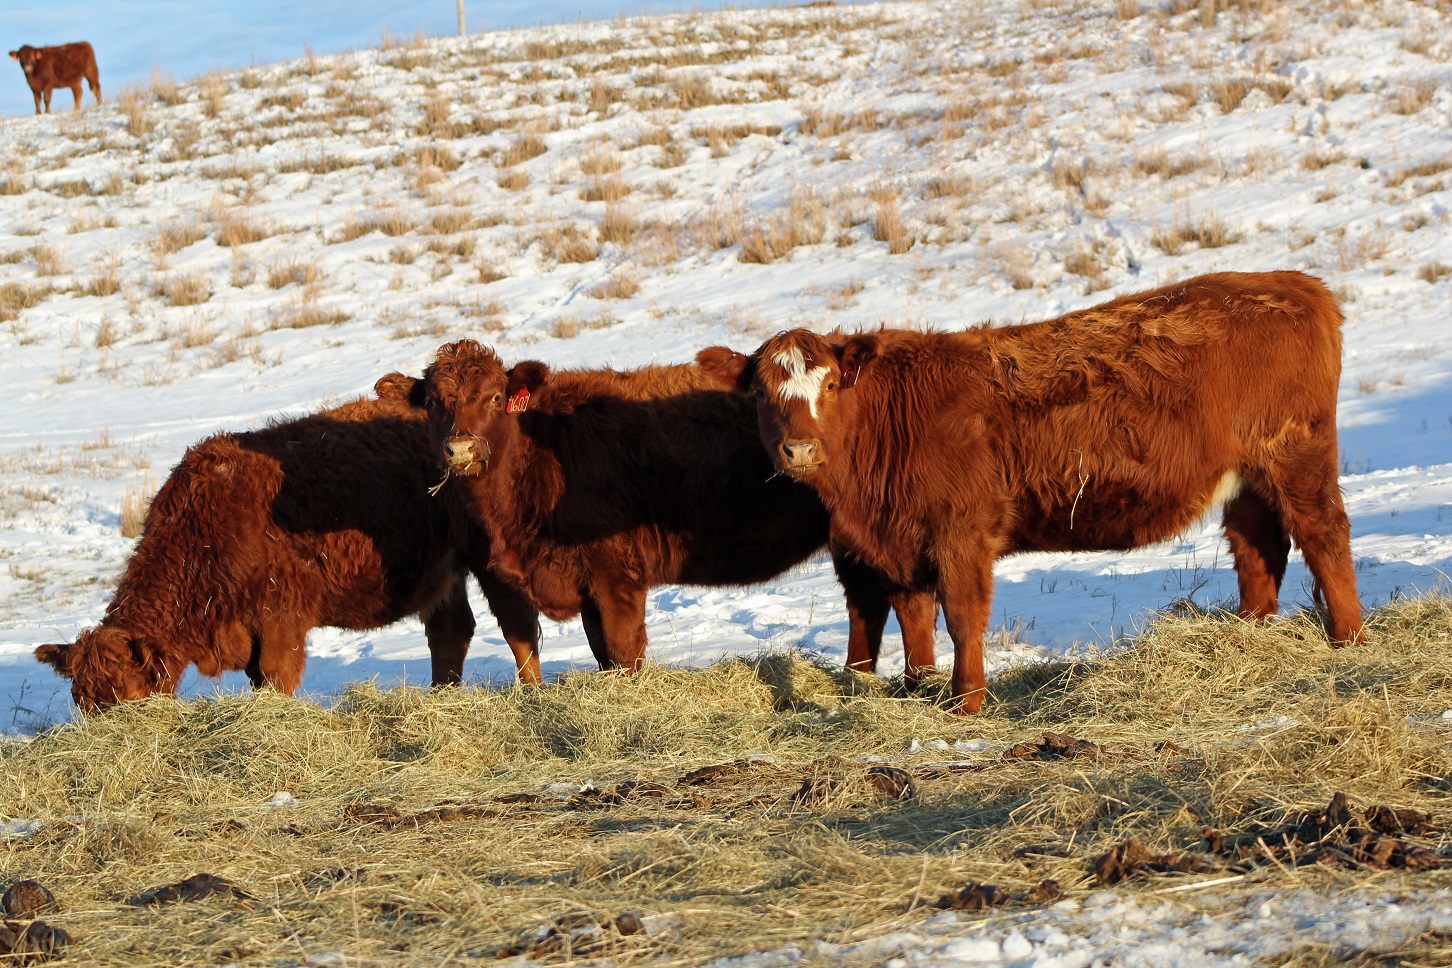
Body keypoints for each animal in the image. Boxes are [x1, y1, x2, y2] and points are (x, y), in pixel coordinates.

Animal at [35, 374, 541, 713]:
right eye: (83, 703)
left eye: (131, 696)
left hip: (487, 558)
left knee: (515, 624)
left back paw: (531, 693)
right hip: (440, 571)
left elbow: (278, 677)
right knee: (451, 630)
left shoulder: (281, 616)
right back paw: (441, 698)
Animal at [418, 339, 939, 681]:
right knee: (868, 602)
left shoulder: (618, 579)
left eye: (495, 397)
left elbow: (624, 651)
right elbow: (598, 651)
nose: (460, 450)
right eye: (436, 403)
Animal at [711, 271, 1366, 714]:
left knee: (1325, 535)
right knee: (1259, 550)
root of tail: (1298, 285)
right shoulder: (896, 548)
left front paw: (967, 703)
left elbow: (962, 620)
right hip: (1249, 480)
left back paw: (1350, 640)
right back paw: (1249, 636)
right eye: (763, 392)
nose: (798, 450)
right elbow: (914, 621)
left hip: (1297, 459)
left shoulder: (961, 535)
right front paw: (919, 690)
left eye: (828, 385)